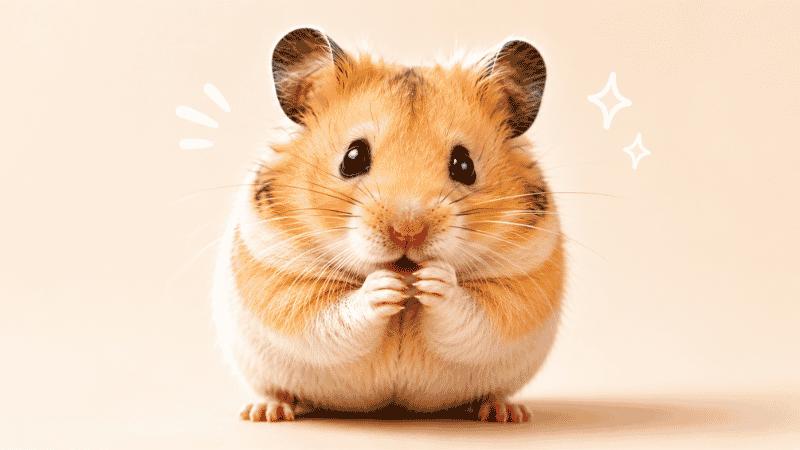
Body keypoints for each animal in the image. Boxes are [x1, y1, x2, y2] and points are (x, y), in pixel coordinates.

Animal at [212, 28, 564, 423]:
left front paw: (434, 280)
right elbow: (329, 316)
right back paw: (266, 411)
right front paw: (385, 286)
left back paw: (505, 412)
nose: (407, 231)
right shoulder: (280, 277)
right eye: (352, 157)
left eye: (464, 165)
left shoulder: (521, 284)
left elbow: (472, 315)